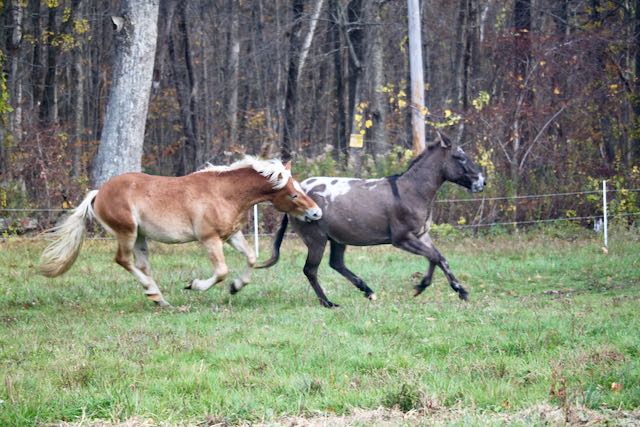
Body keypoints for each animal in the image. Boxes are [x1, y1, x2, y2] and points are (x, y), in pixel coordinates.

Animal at [39, 157, 322, 307]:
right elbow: (221, 271)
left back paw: (159, 298)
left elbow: (251, 258)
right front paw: (194, 285)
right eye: (293, 194)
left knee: (141, 266)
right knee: (123, 260)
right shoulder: (209, 239)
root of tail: (99, 193)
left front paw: (236, 287)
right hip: (126, 232)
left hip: (140, 237)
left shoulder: (231, 235)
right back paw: (154, 293)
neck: (224, 193)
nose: (317, 213)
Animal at [247, 135, 485, 307]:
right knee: (310, 270)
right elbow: (435, 257)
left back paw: (368, 291)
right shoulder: (402, 239)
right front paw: (427, 287)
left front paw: (455, 290)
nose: (482, 181)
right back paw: (328, 303)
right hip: (317, 239)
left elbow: (439, 258)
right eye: (460, 158)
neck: (411, 191)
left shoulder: (421, 235)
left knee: (336, 264)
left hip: (337, 239)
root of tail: (298, 190)